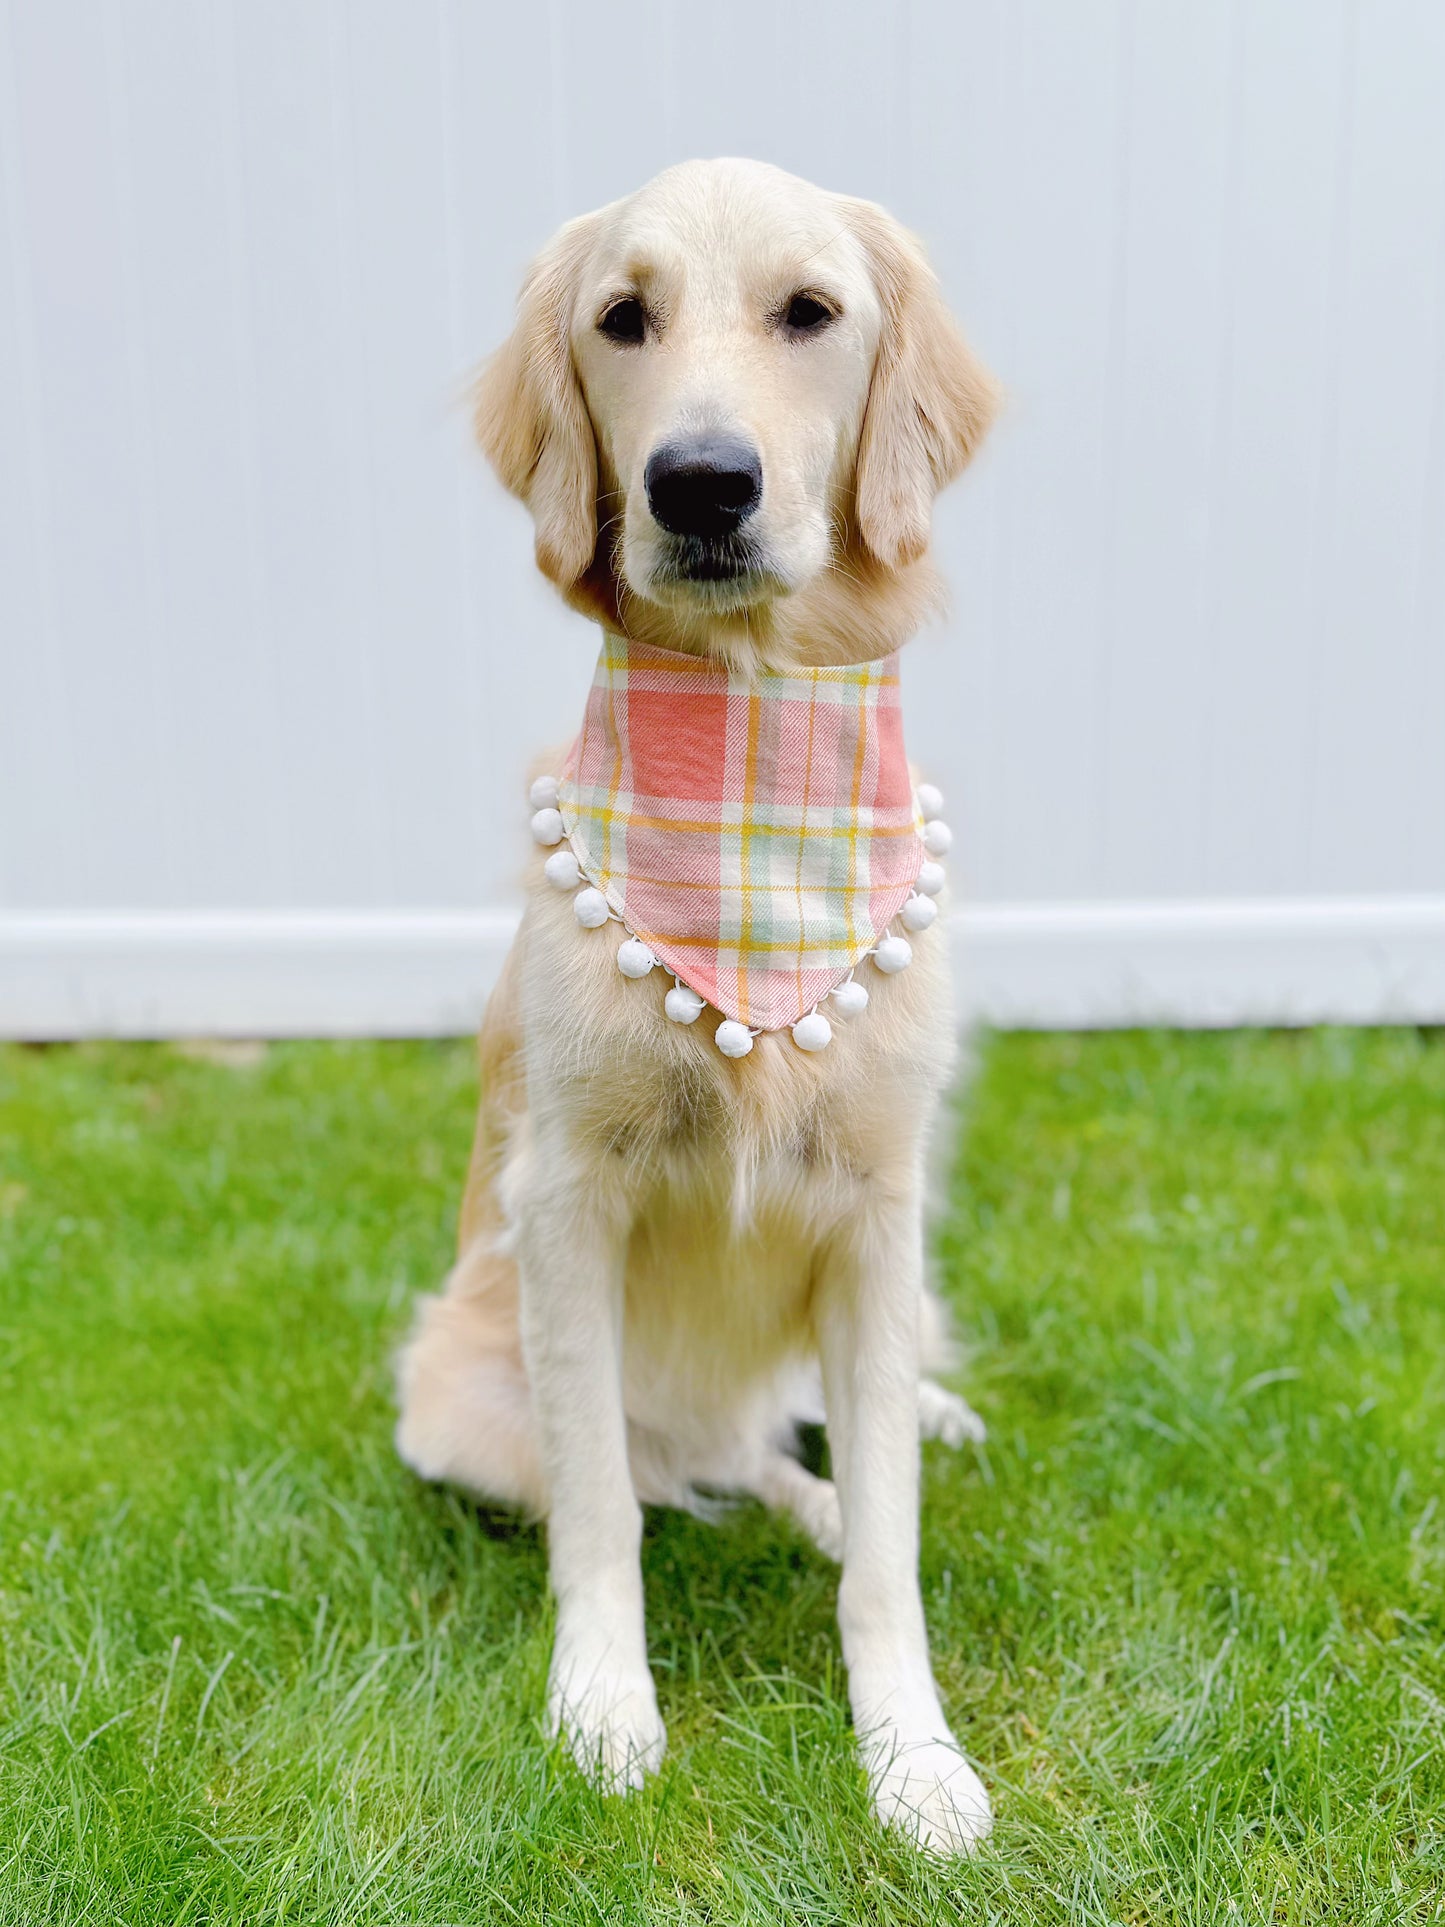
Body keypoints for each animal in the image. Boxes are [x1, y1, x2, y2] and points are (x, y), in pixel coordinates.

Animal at [402, 161, 1001, 1849]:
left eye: (810, 310)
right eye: (623, 317)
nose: (701, 484)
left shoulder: (877, 1211)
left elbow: (891, 1550)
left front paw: (913, 1755)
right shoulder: (566, 1204)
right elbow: (602, 1507)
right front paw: (604, 1705)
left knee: (808, 1445)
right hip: (455, 1399)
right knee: (684, 1467)